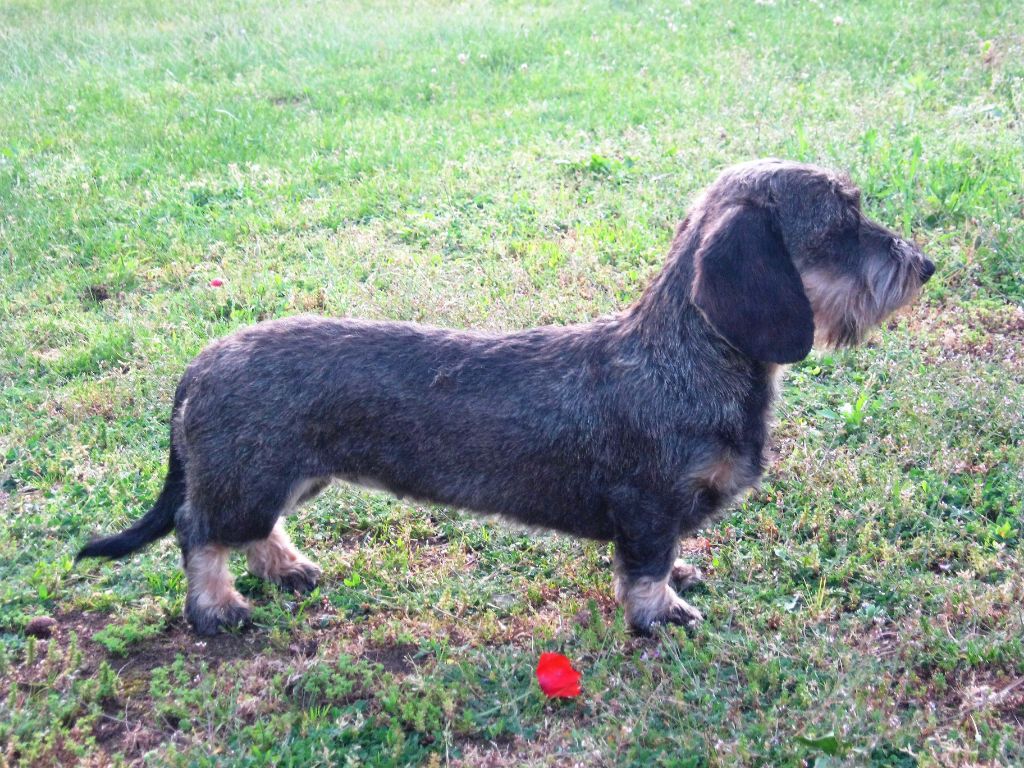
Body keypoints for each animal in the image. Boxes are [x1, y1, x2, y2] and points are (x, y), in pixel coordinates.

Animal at [75, 159, 933, 634]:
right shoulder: (647, 506)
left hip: (286, 476)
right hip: (247, 479)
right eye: (844, 223)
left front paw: (679, 581)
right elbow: (645, 569)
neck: (688, 357)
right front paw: (659, 615)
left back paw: (287, 568)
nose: (924, 266)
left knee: (253, 531)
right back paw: (216, 609)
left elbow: (663, 561)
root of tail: (200, 362)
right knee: (198, 533)